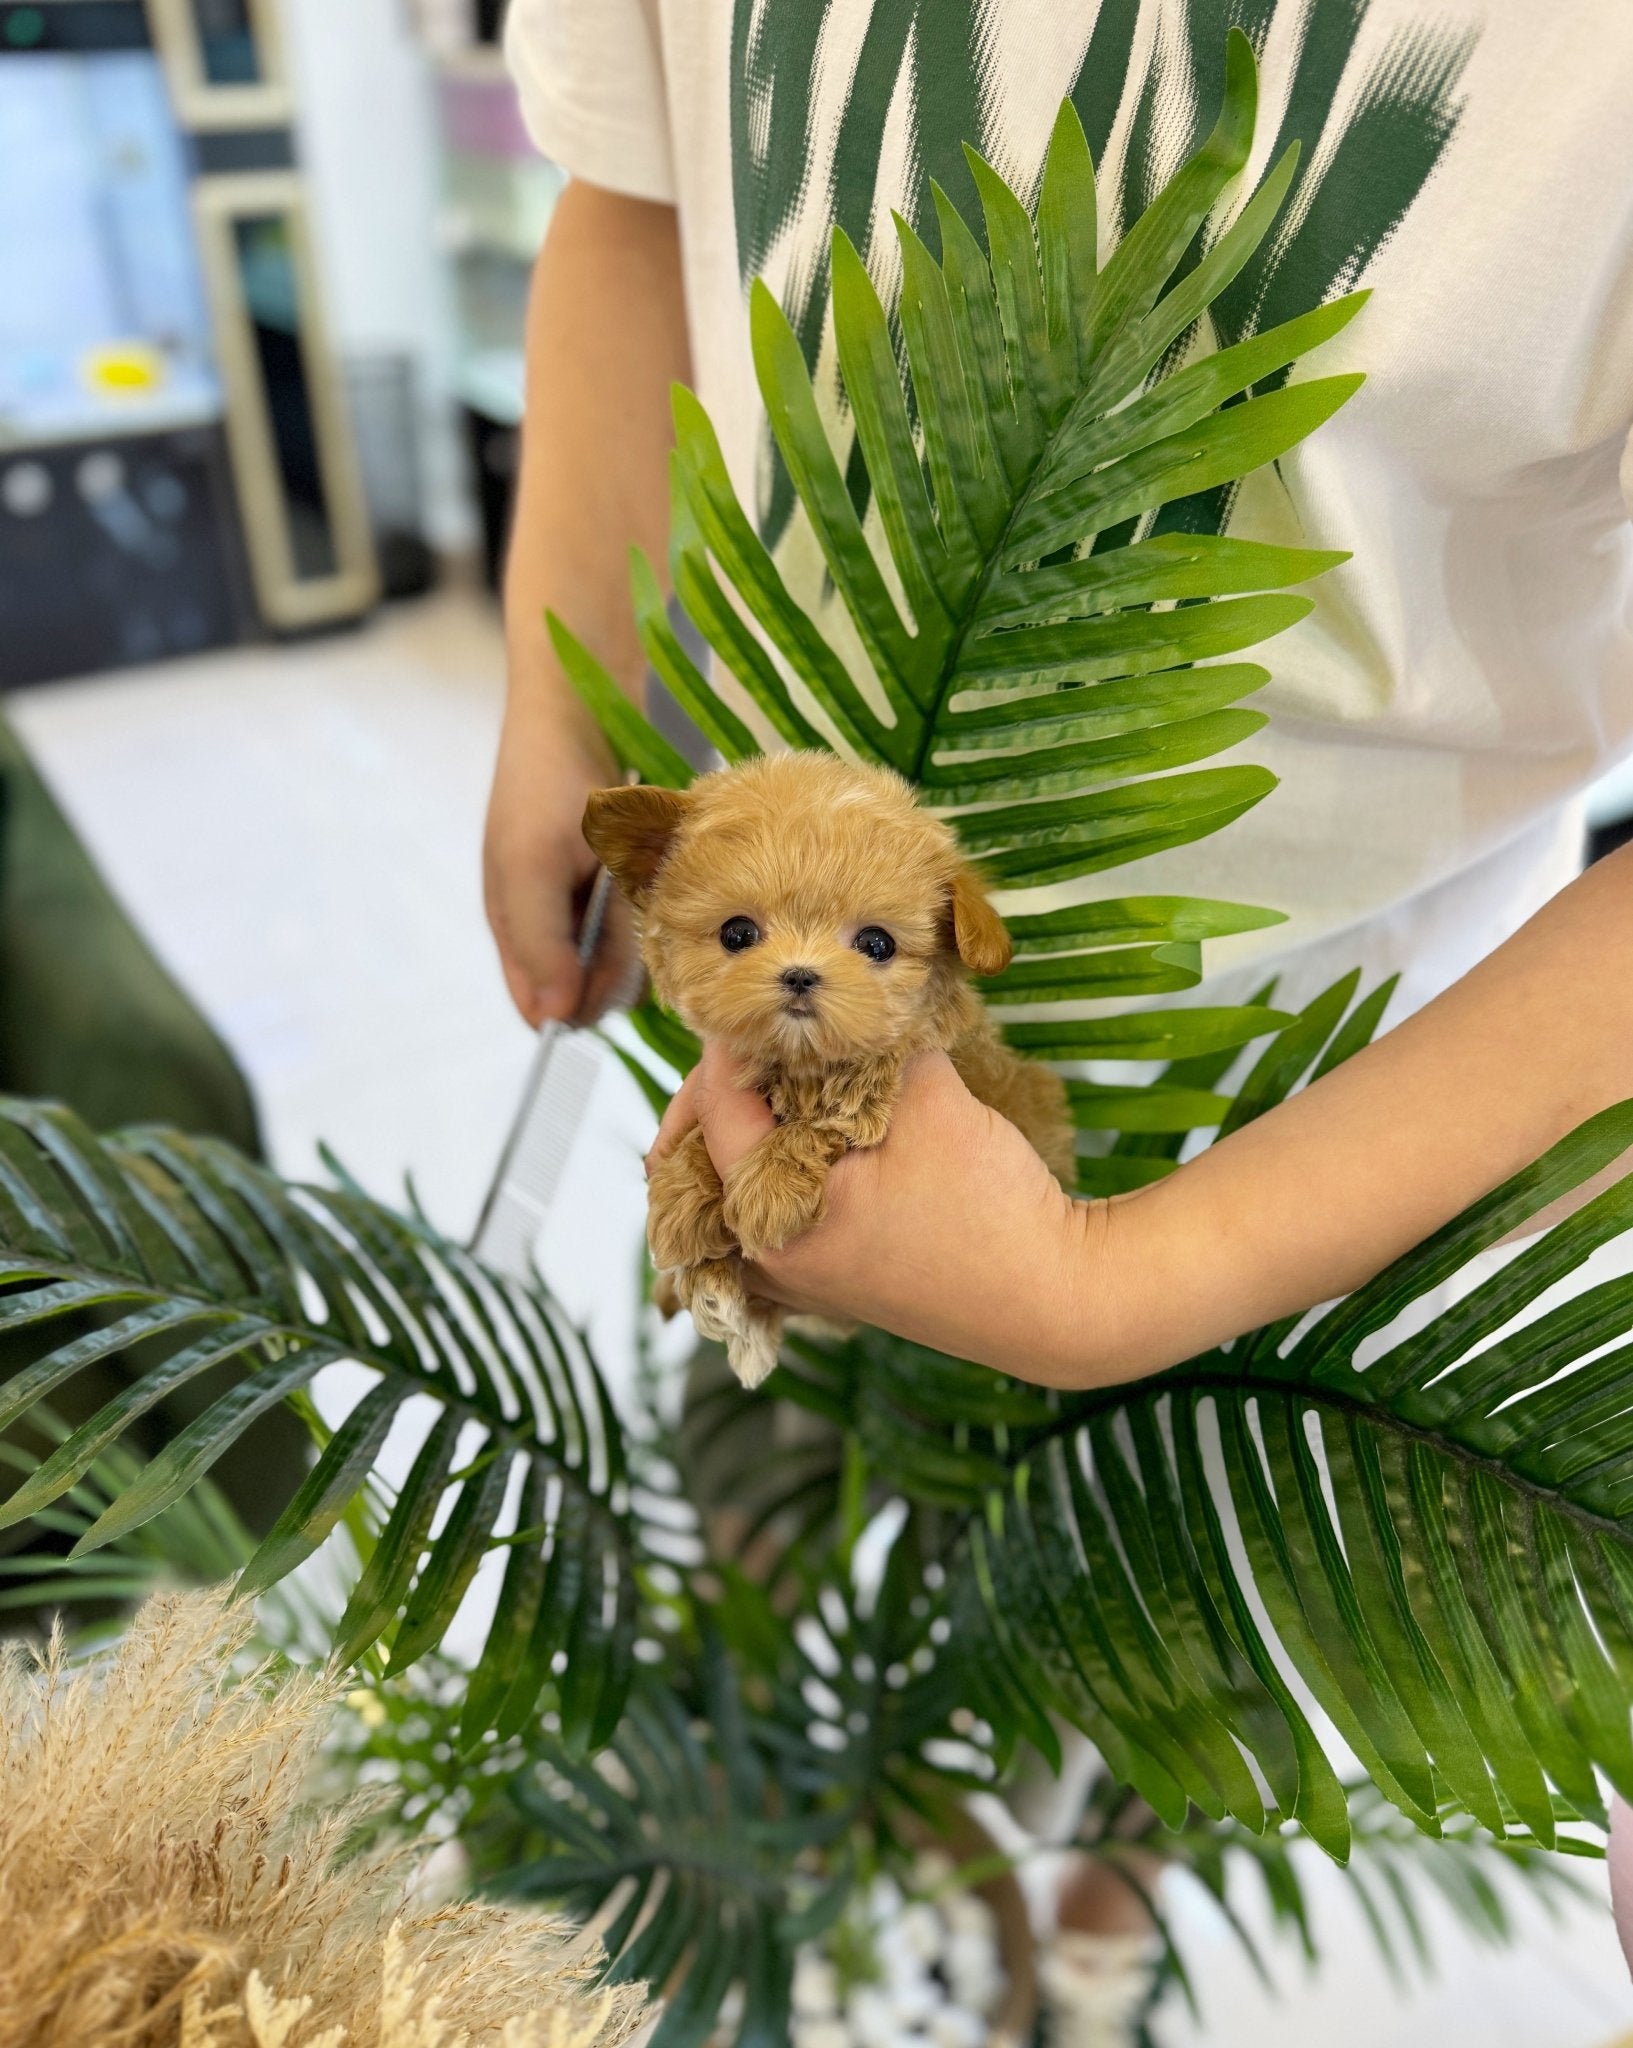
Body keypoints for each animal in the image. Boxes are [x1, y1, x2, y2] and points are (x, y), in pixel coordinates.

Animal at [577, 753, 1073, 1392]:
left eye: (877, 943)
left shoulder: (887, 1075)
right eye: (737, 933)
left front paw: (767, 1188)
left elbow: (834, 1115)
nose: (800, 974)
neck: (798, 1062)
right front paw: (684, 1193)